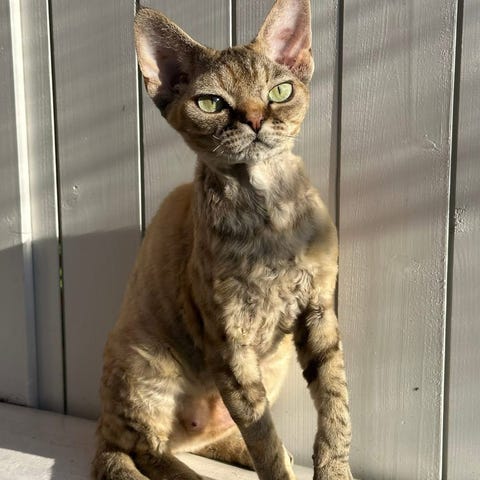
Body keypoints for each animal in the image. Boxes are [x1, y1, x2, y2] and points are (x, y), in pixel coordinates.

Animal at [92, 1, 353, 479]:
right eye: (211, 103)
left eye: (280, 92)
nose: (254, 119)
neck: (269, 214)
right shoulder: (229, 342)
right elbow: (261, 434)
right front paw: (278, 466)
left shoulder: (319, 312)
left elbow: (335, 408)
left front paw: (334, 470)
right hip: (145, 363)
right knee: (143, 449)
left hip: (272, 364)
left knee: (202, 437)